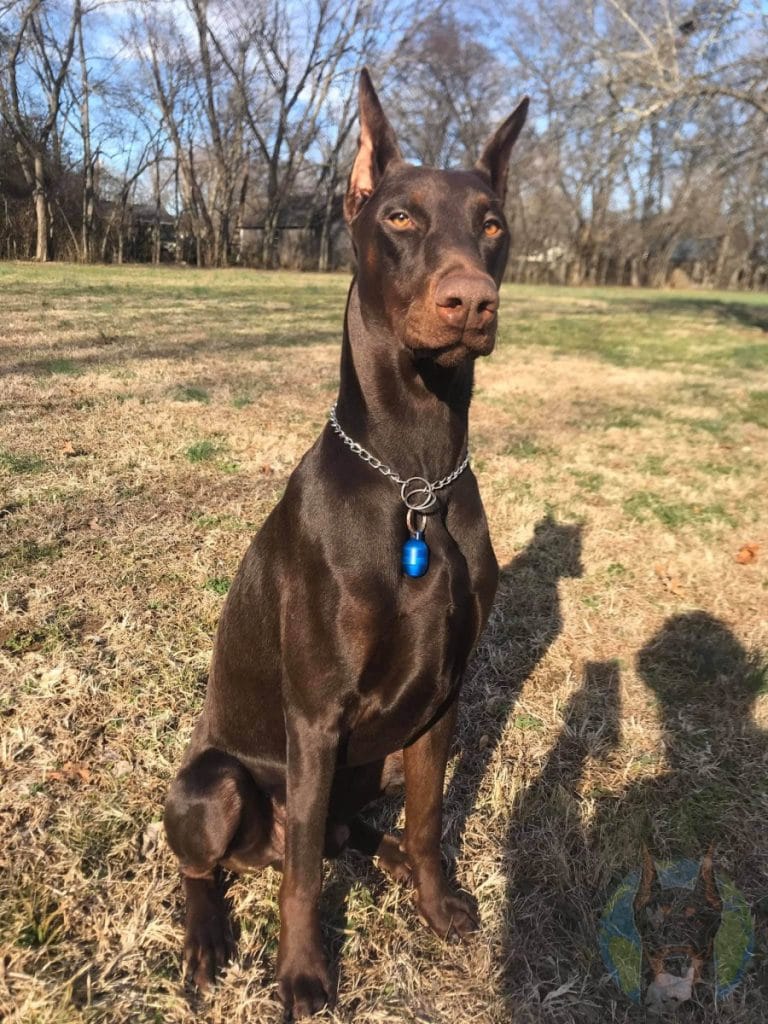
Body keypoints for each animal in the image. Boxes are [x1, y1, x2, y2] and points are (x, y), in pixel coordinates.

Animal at [164, 70, 528, 1015]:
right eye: (398, 216)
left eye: (492, 223)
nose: (470, 300)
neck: (414, 479)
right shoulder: (318, 716)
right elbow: (298, 880)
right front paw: (302, 976)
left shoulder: (442, 698)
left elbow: (431, 819)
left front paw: (435, 902)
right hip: (215, 782)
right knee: (226, 863)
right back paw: (208, 940)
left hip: (371, 766)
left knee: (353, 832)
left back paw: (391, 858)